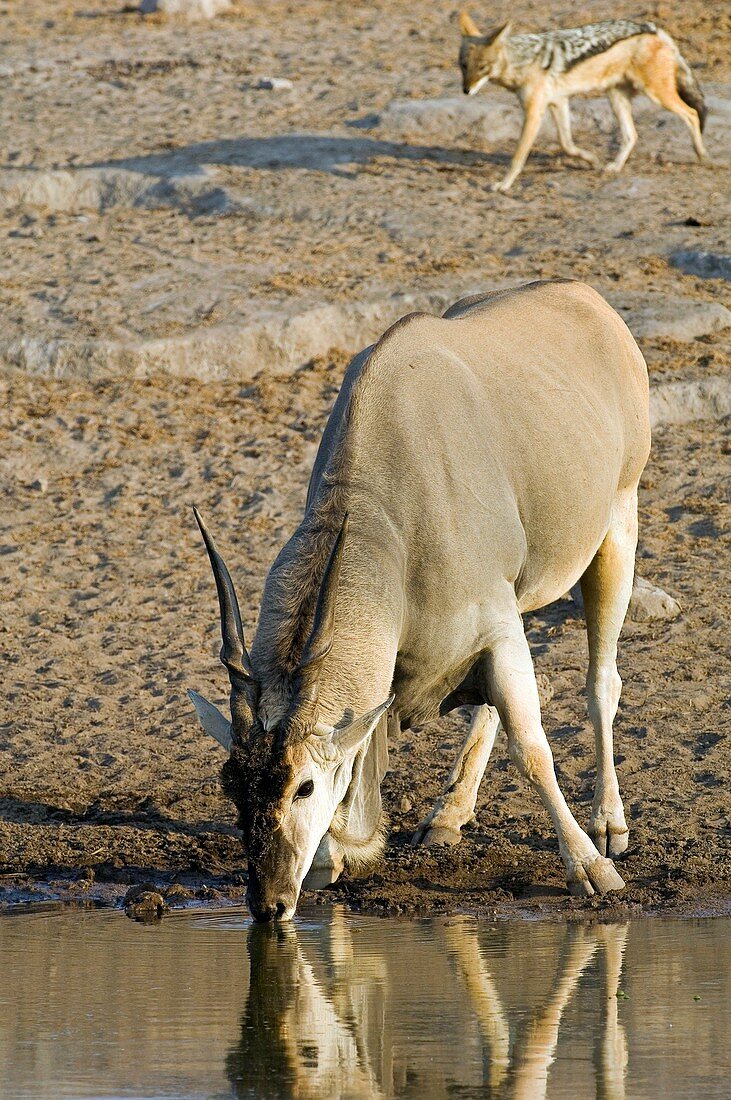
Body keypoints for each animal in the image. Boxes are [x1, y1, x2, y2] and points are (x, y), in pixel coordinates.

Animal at [189, 277, 650, 919]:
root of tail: (589, 300)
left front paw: (590, 868)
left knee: (601, 681)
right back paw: (449, 816)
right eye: (232, 785)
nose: (268, 902)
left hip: (615, 530)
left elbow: (532, 750)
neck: (390, 509)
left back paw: (610, 826)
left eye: (304, 785)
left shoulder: (496, 627)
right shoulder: (490, 628)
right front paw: (333, 858)